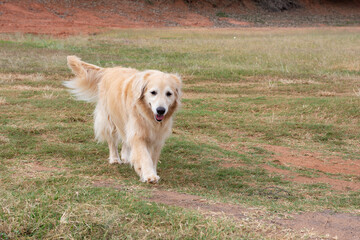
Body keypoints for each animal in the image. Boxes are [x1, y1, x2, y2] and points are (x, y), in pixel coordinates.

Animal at [63, 56, 181, 184]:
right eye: (153, 92)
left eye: (169, 94)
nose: (160, 110)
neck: (146, 114)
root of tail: (108, 70)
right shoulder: (138, 133)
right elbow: (144, 157)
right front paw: (149, 175)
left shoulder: (157, 136)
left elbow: (153, 157)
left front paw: (152, 172)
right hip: (109, 120)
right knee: (112, 141)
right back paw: (115, 159)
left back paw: (125, 156)